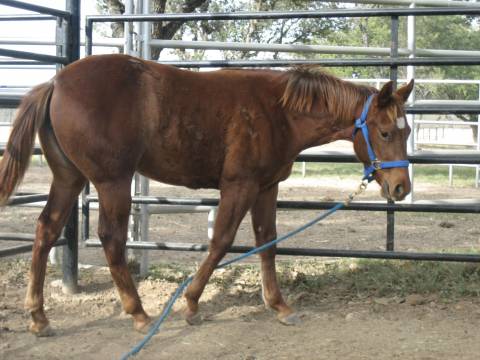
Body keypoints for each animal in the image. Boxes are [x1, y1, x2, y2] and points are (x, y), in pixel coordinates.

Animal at [0, 54, 412, 336]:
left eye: (407, 132)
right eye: (386, 132)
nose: (401, 188)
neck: (278, 111)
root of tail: (56, 82)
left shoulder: (266, 187)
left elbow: (267, 241)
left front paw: (279, 305)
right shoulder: (239, 185)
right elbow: (221, 241)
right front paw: (192, 303)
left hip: (68, 178)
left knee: (46, 229)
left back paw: (39, 317)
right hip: (112, 181)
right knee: (111, 238)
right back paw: (138, 313)